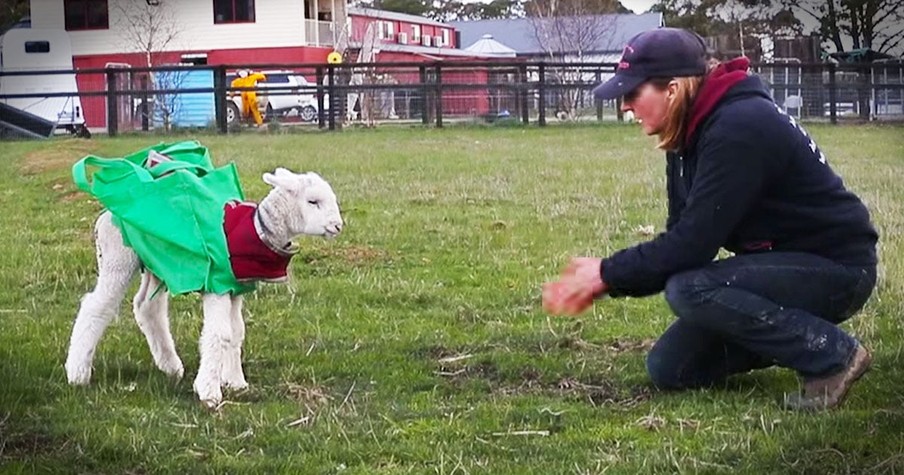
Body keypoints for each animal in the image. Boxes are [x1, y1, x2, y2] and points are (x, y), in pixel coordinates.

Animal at [65, 167, 342, 410]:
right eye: (313, 201)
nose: (338, 225)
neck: (257, 230)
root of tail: (105, 215)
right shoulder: (216, 285)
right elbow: (219, 333)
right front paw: (209, 391)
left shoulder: (235, 288)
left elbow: (236, 332)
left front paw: (236, 382)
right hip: (117, 257)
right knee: (96, 307)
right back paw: (77, 373)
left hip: (158, 262)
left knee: (147, 307)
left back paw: (171, 366)